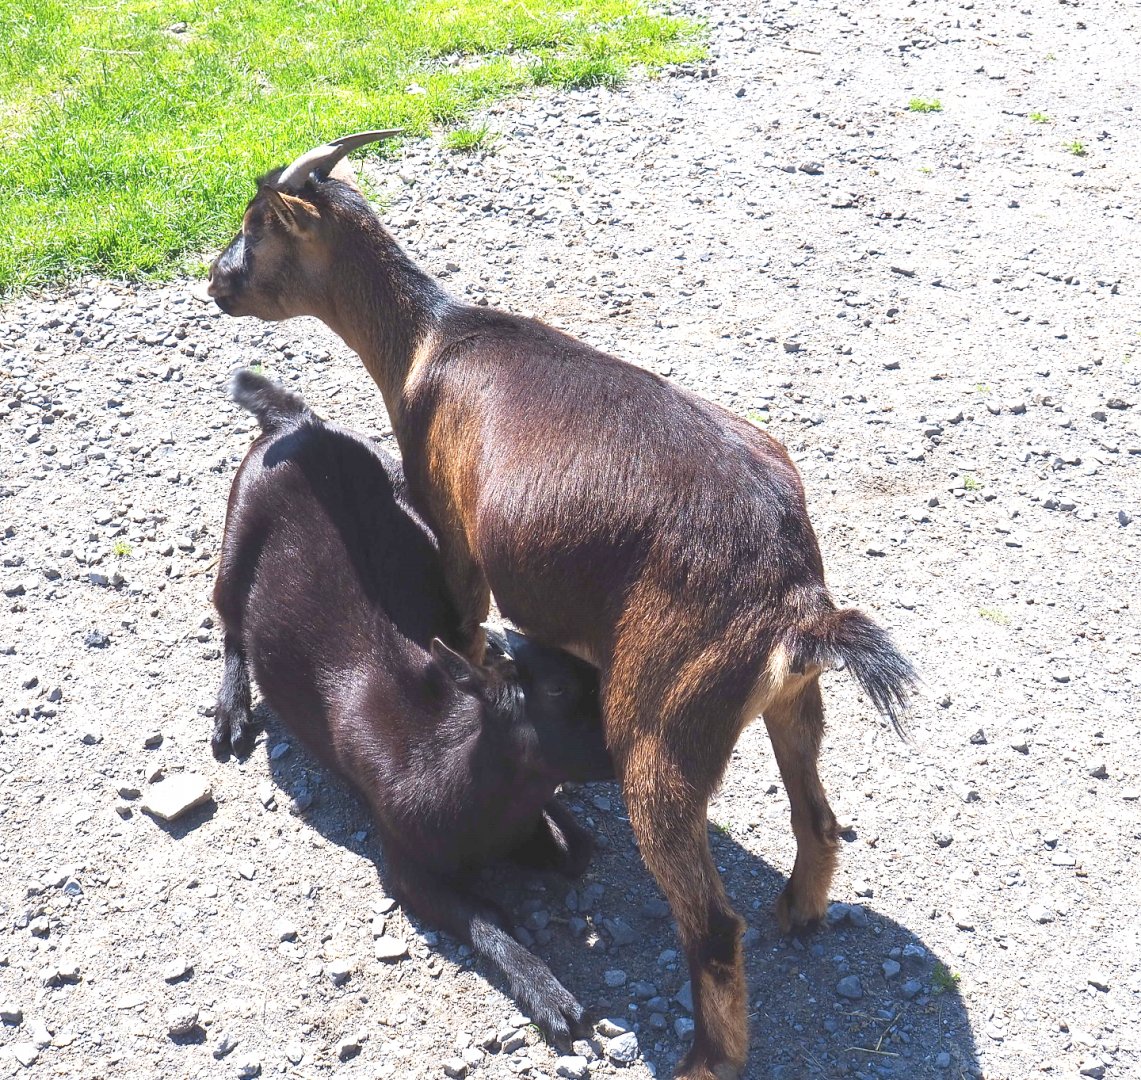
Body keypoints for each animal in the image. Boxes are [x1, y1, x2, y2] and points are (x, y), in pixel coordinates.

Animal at [212, 369, 614, 1046]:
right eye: (559, 692)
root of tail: (297, 422)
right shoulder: (405, 864)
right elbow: (487, 921)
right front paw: (552, 996)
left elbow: (575, 851)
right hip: (236, 536)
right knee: (230, 625)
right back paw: (232, 713)